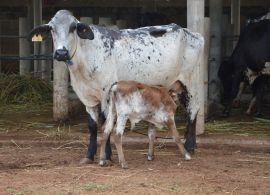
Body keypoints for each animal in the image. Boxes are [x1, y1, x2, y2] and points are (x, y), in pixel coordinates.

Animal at [28, 9, 204, 164]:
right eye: (51, 28)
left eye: (73, 27)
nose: (61, 53)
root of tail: (192, 33)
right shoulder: (86, 97)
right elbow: (92, 126)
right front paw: (89, 155)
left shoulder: (107, 94)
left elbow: (106, 123)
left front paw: (106, 155)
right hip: (178, 85)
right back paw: (192, 143)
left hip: (192, 81)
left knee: (193, 110)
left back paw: (189, 146)